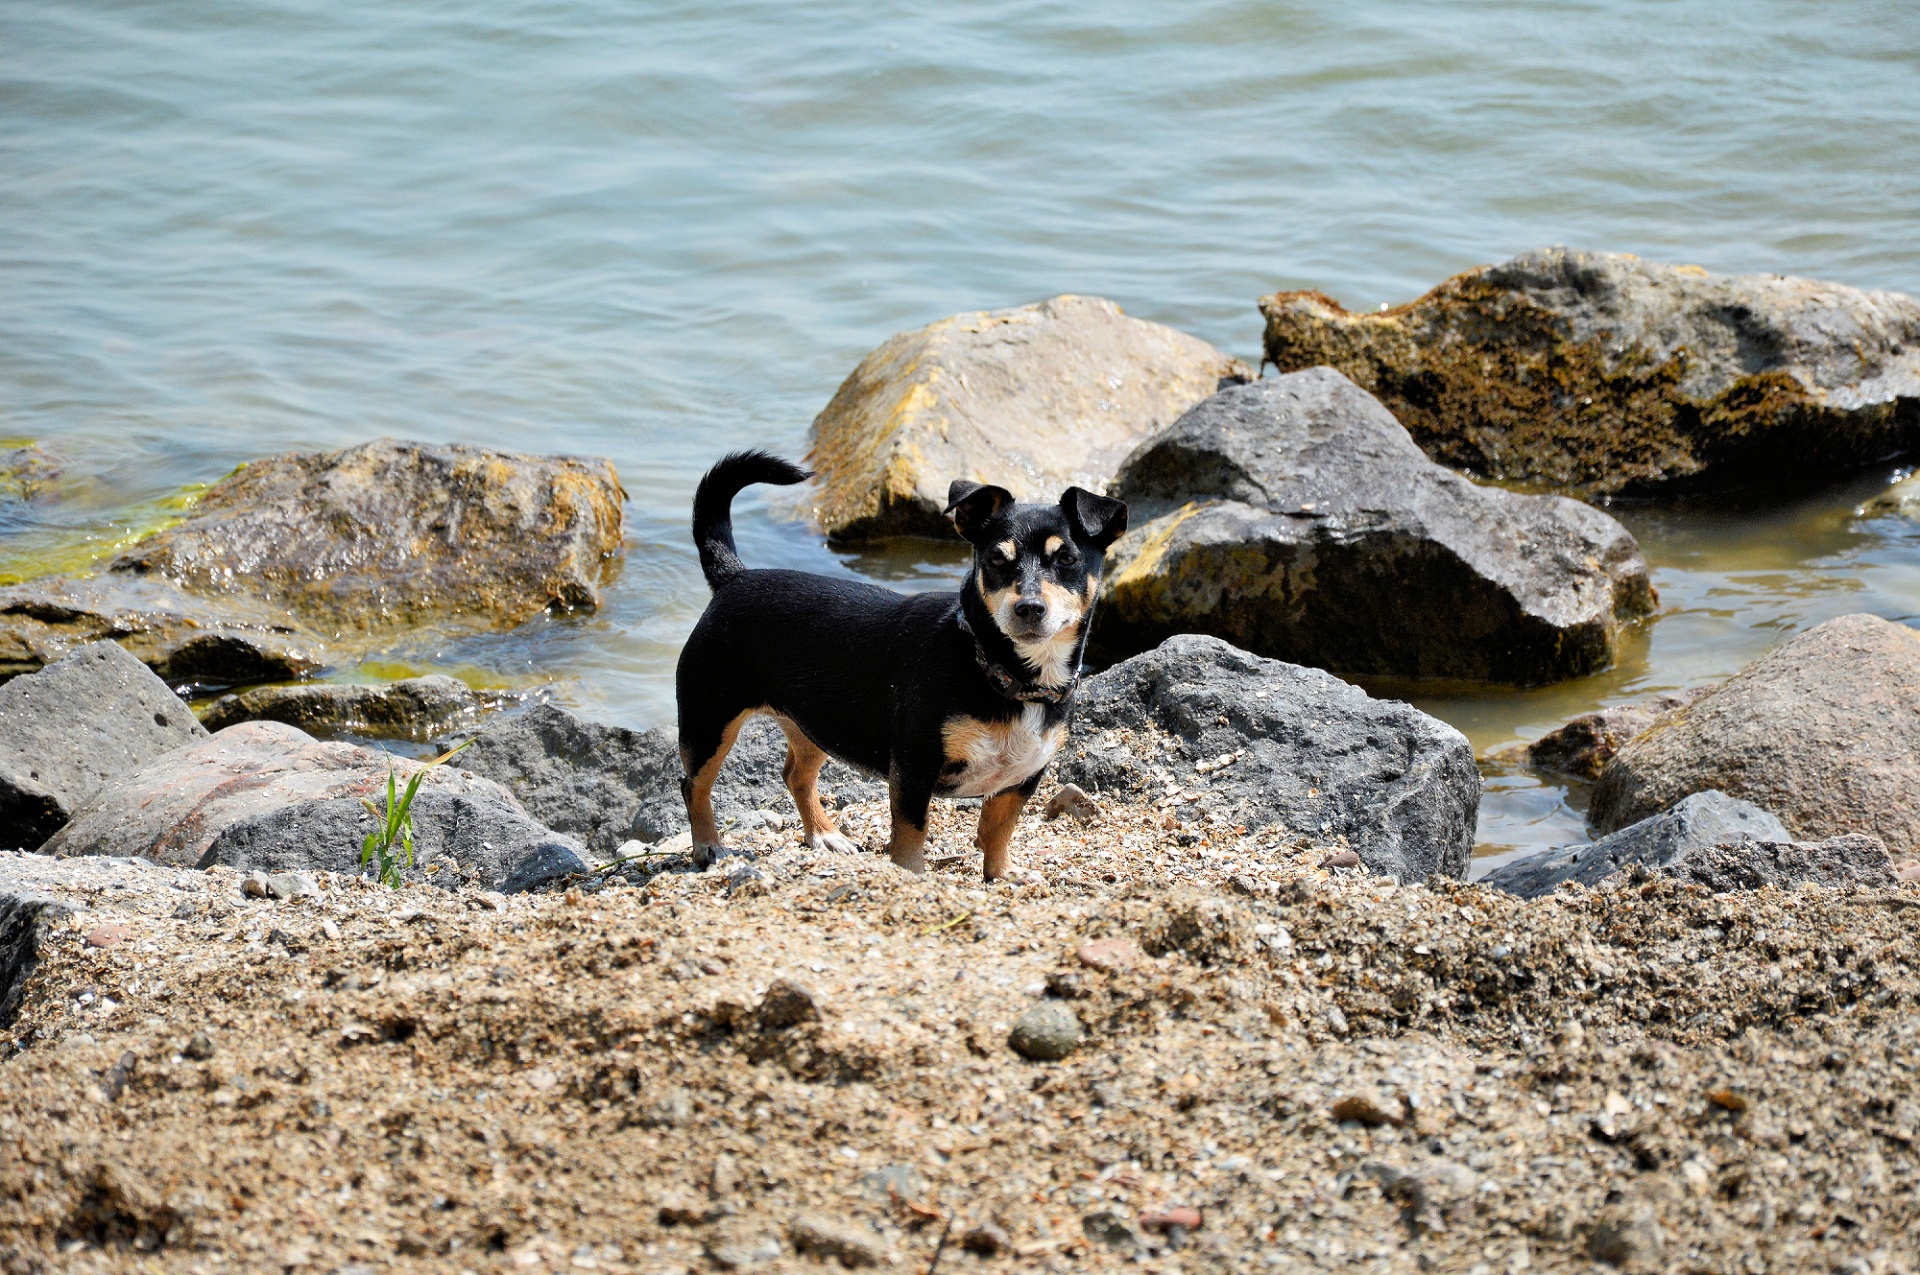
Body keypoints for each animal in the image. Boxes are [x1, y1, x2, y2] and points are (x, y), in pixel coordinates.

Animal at [675, 453, 1121, 883]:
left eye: (1067, 558)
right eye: (997, 559)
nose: (1028, 607)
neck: (1002, 670)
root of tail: (735, 577)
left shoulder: (1022, 779)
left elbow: (998, 829)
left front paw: (1001, 873)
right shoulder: (914, 766)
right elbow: (912, 831)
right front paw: (910, 876)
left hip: (815, 723)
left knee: (795, 775)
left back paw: (824, 834)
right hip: (710, 721)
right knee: (693, 784)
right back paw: (709, 846)